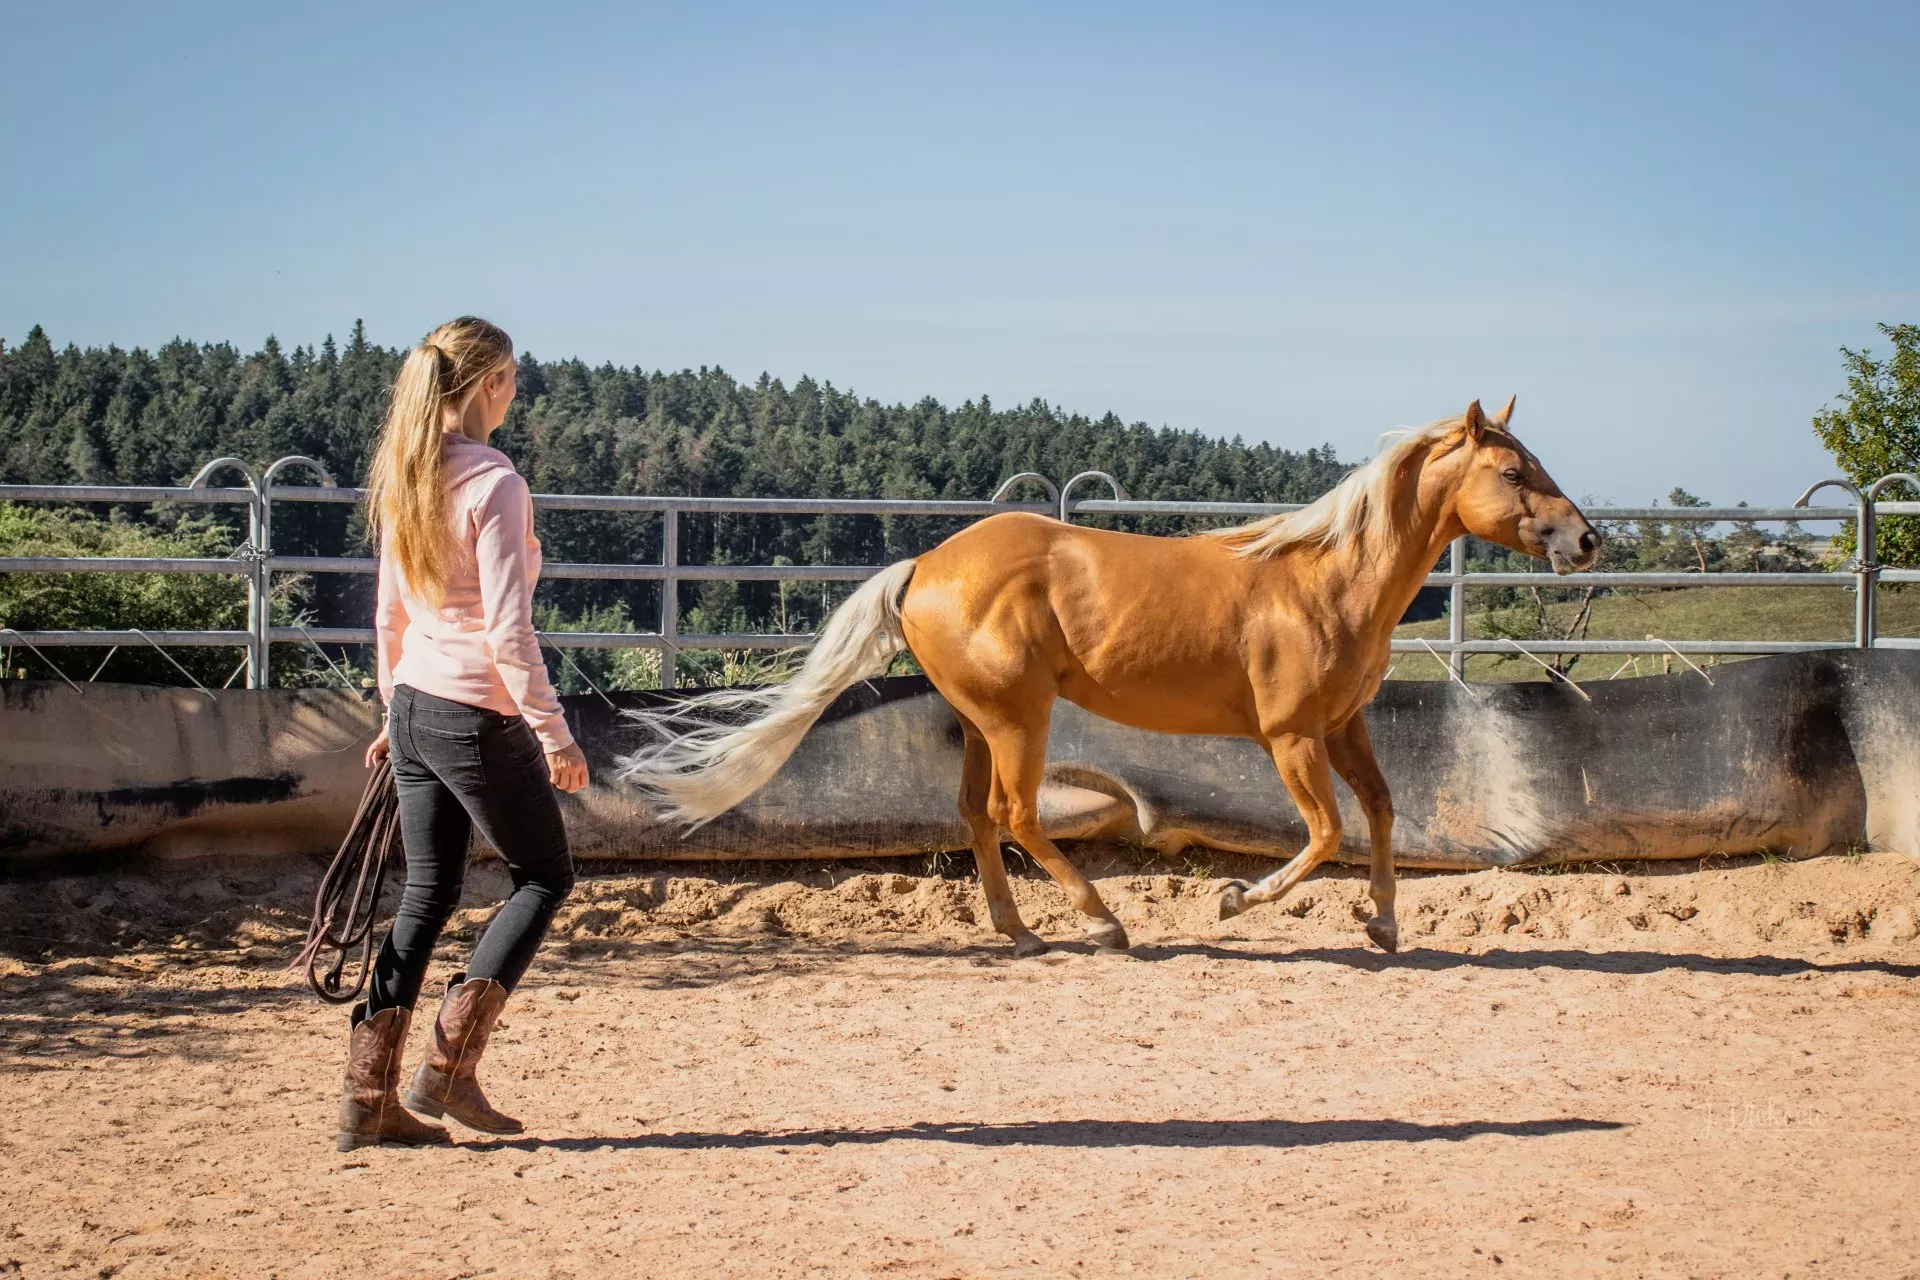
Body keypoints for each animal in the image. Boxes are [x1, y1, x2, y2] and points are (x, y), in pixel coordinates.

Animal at [622, 401, 1597, 951]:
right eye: (1513, 470)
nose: (1587, 540)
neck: (1324, 580)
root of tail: (926, 566)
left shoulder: (1343, 726)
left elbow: (1385, 812)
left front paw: (1385, 922)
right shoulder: (1290, 738)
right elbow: (1325, 834)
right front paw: (1237, 901)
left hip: (981, 723)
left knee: (977, 814)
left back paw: (1018, 931)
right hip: (1019, 719)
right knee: (1017, 813)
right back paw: (1102, 921)